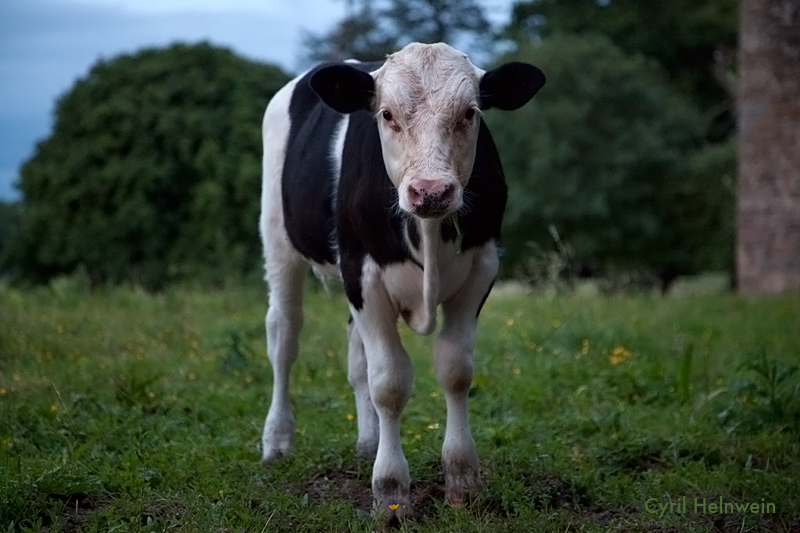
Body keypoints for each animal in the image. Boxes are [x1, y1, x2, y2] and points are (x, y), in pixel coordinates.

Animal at [260, 42, 548, 520]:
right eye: (387, 114)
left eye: (470, 112)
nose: (430, 191)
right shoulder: (362, 272)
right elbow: (390, 383)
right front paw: (391, 492)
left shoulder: (483, 266)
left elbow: (454, 370)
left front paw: (462, 480)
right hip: (279, 240)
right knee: (284, 337)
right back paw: (277, 441)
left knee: (356, 354)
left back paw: (368, 441)